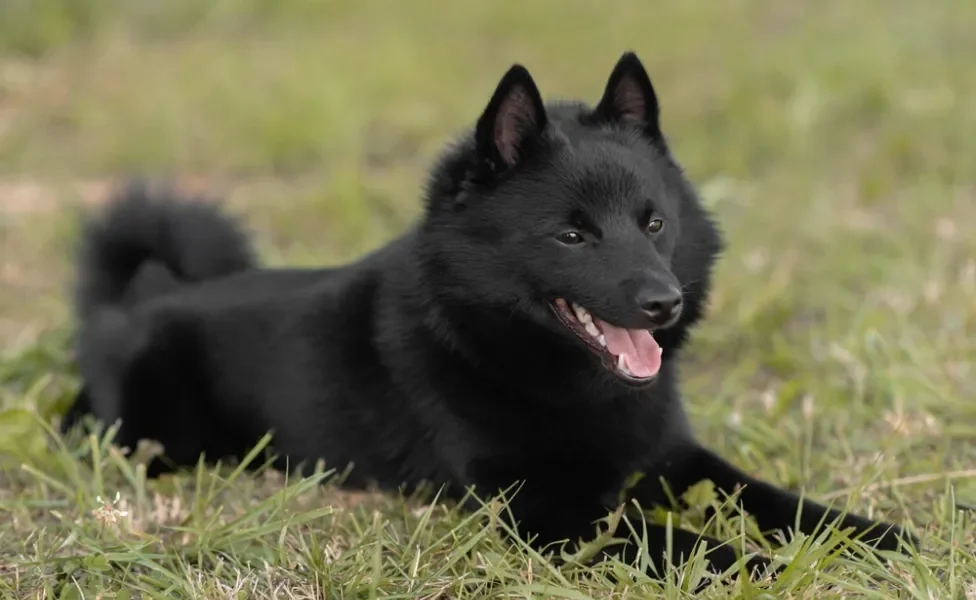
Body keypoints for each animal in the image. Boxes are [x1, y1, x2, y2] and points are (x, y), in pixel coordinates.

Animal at [63, 52, 916, 580]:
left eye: (653, 222)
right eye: (572, 234)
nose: (663, 301)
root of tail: (138, 296)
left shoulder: (676, 460)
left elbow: (787, 505)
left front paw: (882, 538)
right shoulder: (549, 512)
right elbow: (693, 543)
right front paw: (770, 568)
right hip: (151, 439)